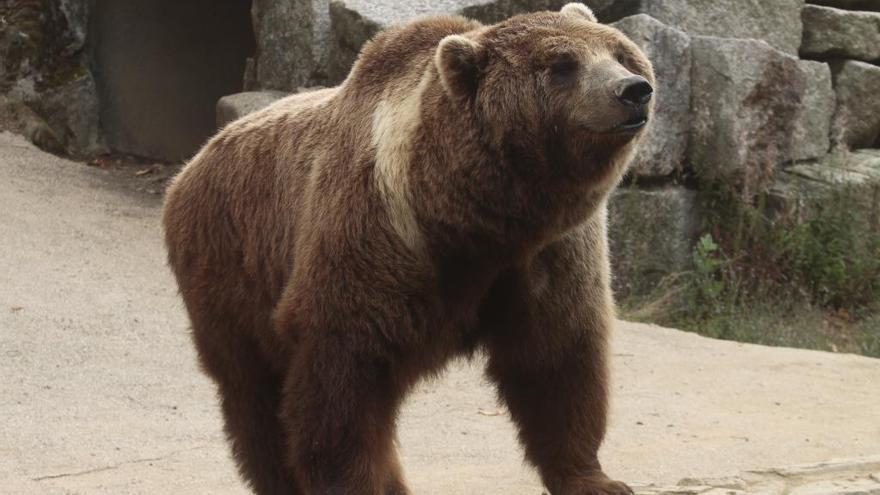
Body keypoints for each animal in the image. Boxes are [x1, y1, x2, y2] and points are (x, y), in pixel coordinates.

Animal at [162, 4, 652, 495]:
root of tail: (191, 164)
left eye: (619, 52)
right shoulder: (376, 238)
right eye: (562, 65)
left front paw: (595, 479)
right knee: (254, 391)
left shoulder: (547, 254)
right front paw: (353, 482)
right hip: (231, 266)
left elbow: (557, 359)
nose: (633, 90)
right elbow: (342, 379)